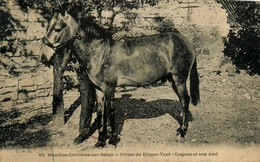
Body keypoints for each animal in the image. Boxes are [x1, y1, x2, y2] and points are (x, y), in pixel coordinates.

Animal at [40, 12, 199, 147]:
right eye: (47, 27)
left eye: (57, 28)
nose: (43, 57)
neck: (100, 52)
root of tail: (188, 42)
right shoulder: (99, 89)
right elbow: (100, 113)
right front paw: (100, 141)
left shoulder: (109, 88)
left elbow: (110, 111)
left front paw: (112, 140)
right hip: (172, 80)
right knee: (183, 101)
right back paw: (180, 129)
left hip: (179, 79)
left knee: (185, 100)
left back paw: (182, 132)